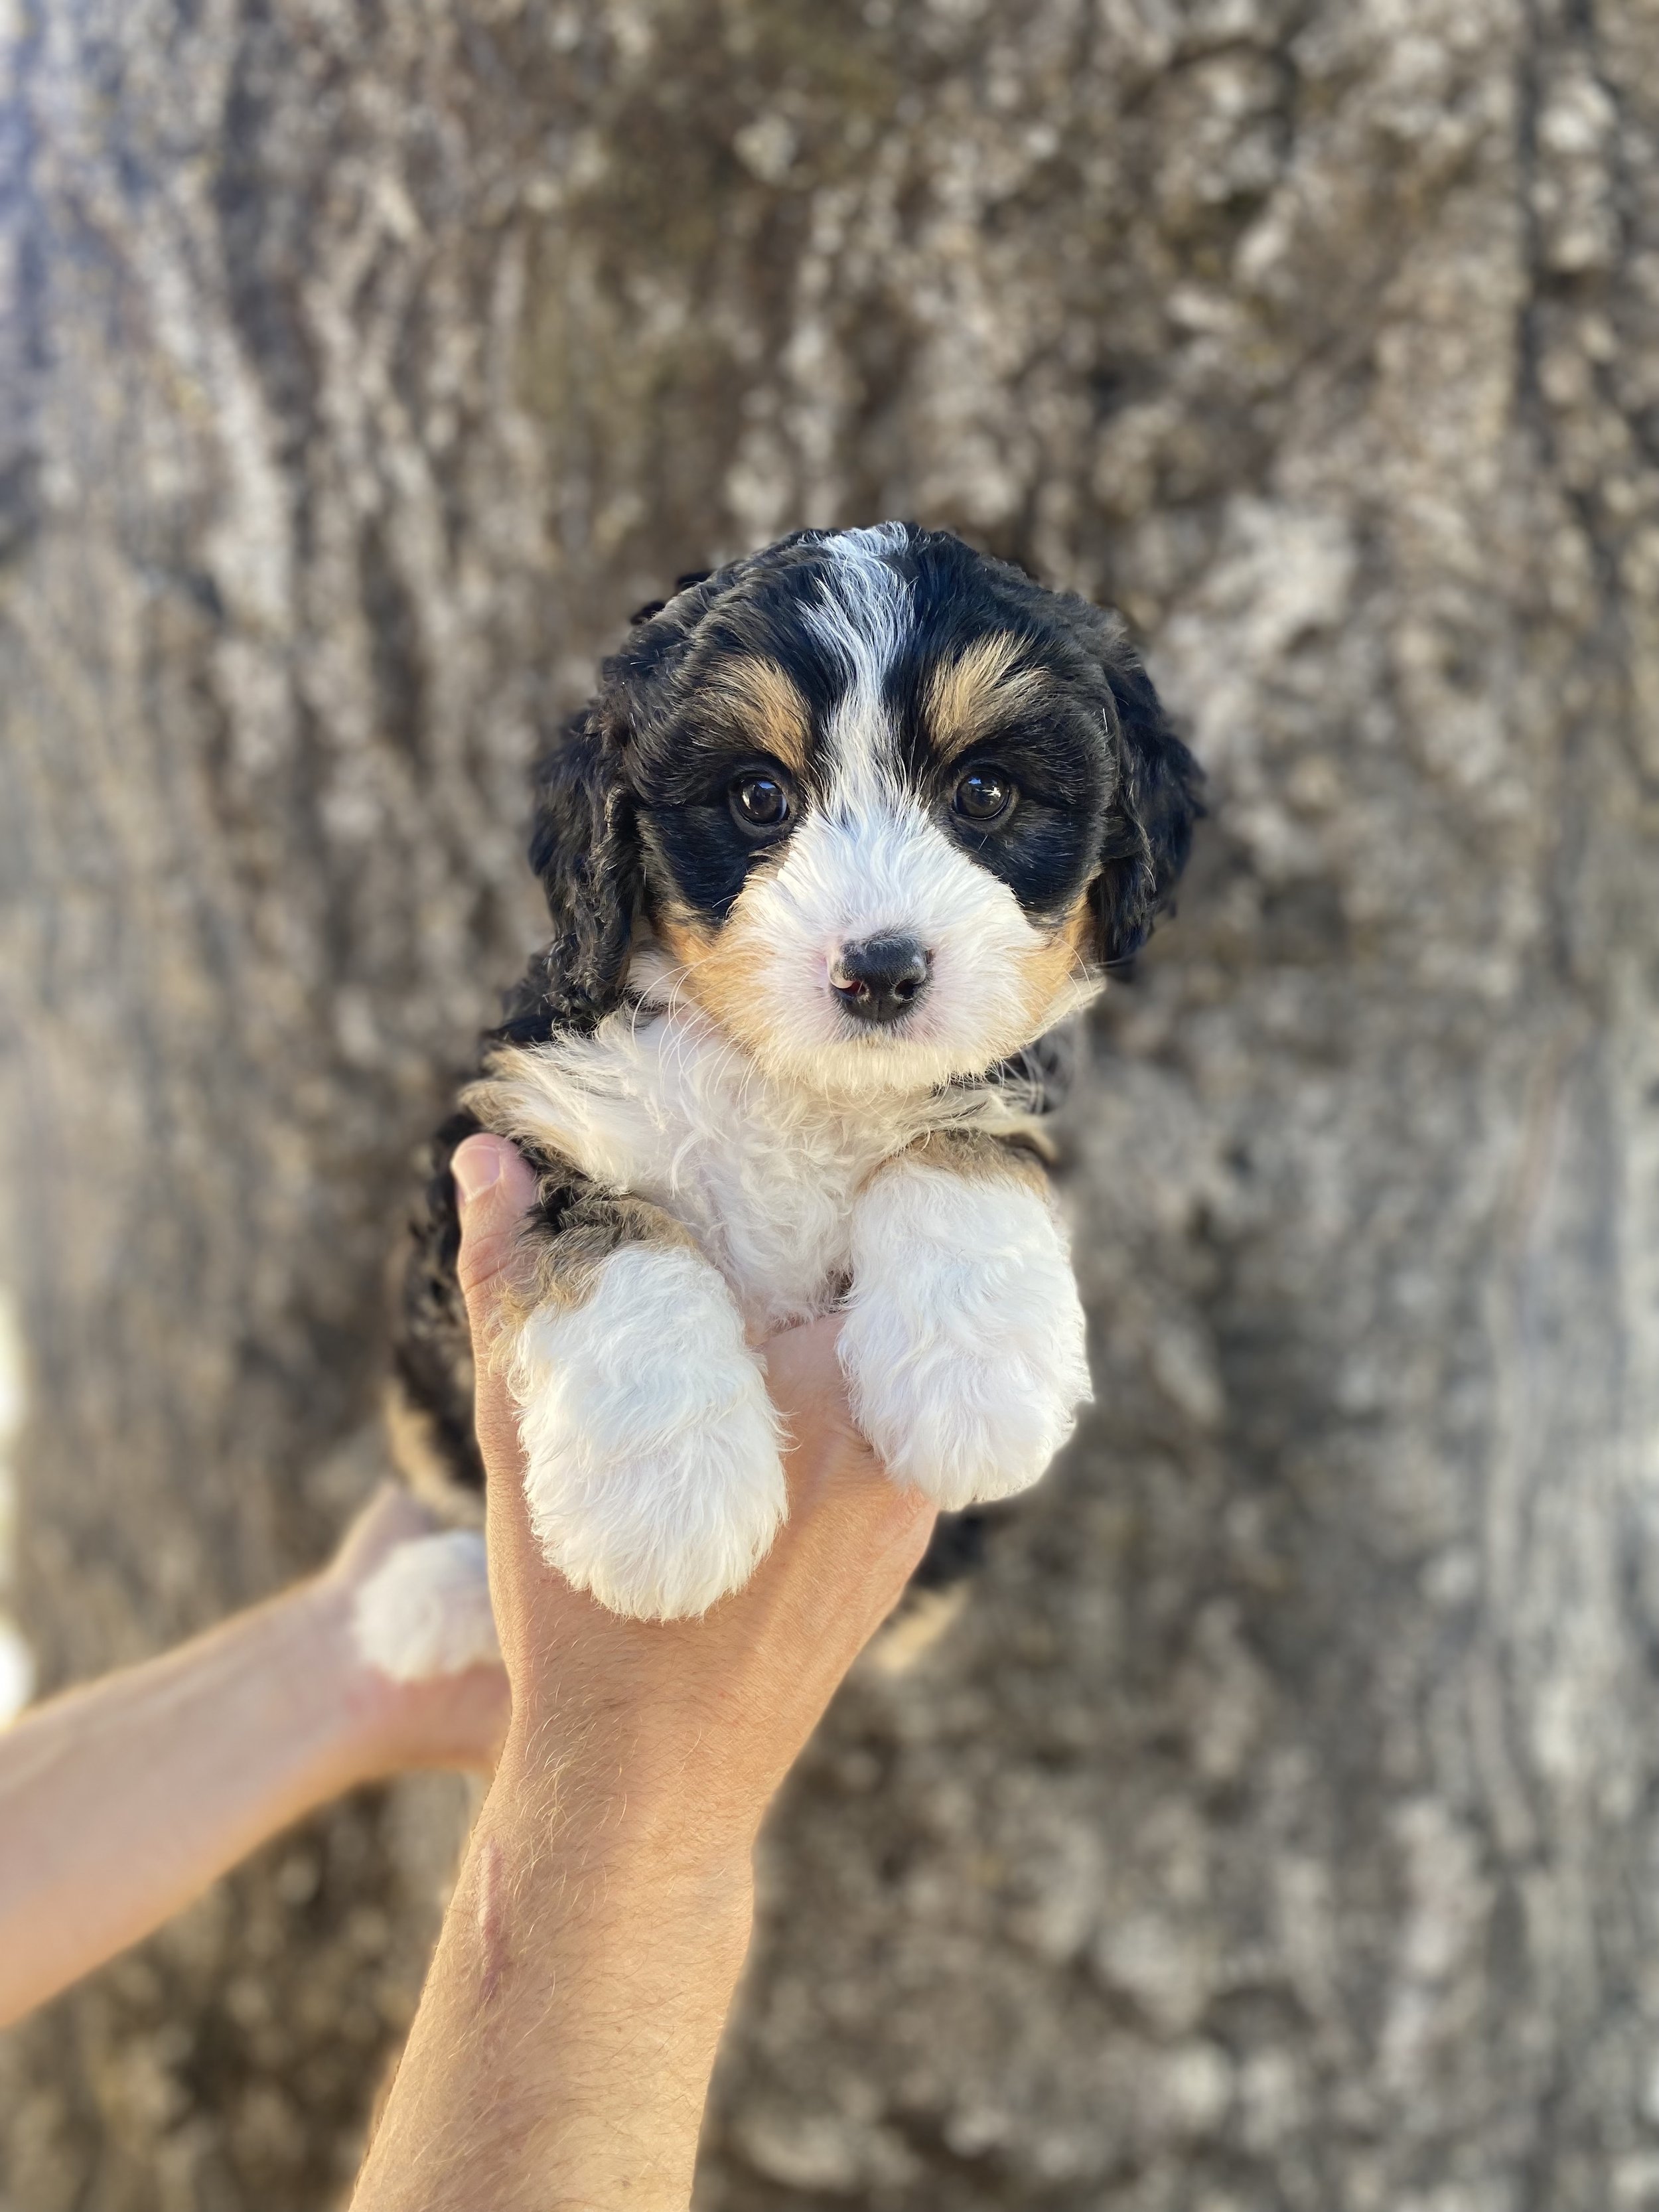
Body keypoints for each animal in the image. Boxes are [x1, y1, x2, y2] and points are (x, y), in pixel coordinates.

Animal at [362, 522, 1203, 1663]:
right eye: (759, 798)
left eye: (984, 793)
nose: (881, 972)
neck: (795, 1084)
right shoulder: (512, 1124)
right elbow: (610, 1235)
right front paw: (666, 1500)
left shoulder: (1009, 1081)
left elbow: (964, 1144)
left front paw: (978, 1380)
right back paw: (432, 1600)